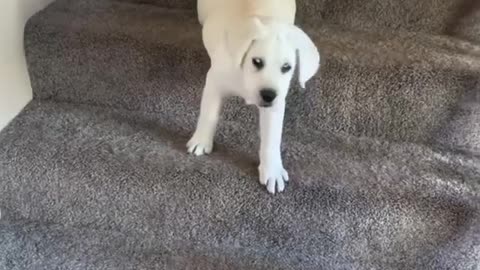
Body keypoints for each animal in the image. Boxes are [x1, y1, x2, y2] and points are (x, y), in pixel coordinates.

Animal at [187, 0, 318, 194]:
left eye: (287, 67)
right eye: (257, 61)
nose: (268, 95)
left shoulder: (276, 105)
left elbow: (272, 137)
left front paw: (272, 170)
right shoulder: (214, 82)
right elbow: (208, 115)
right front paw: (201, 141)